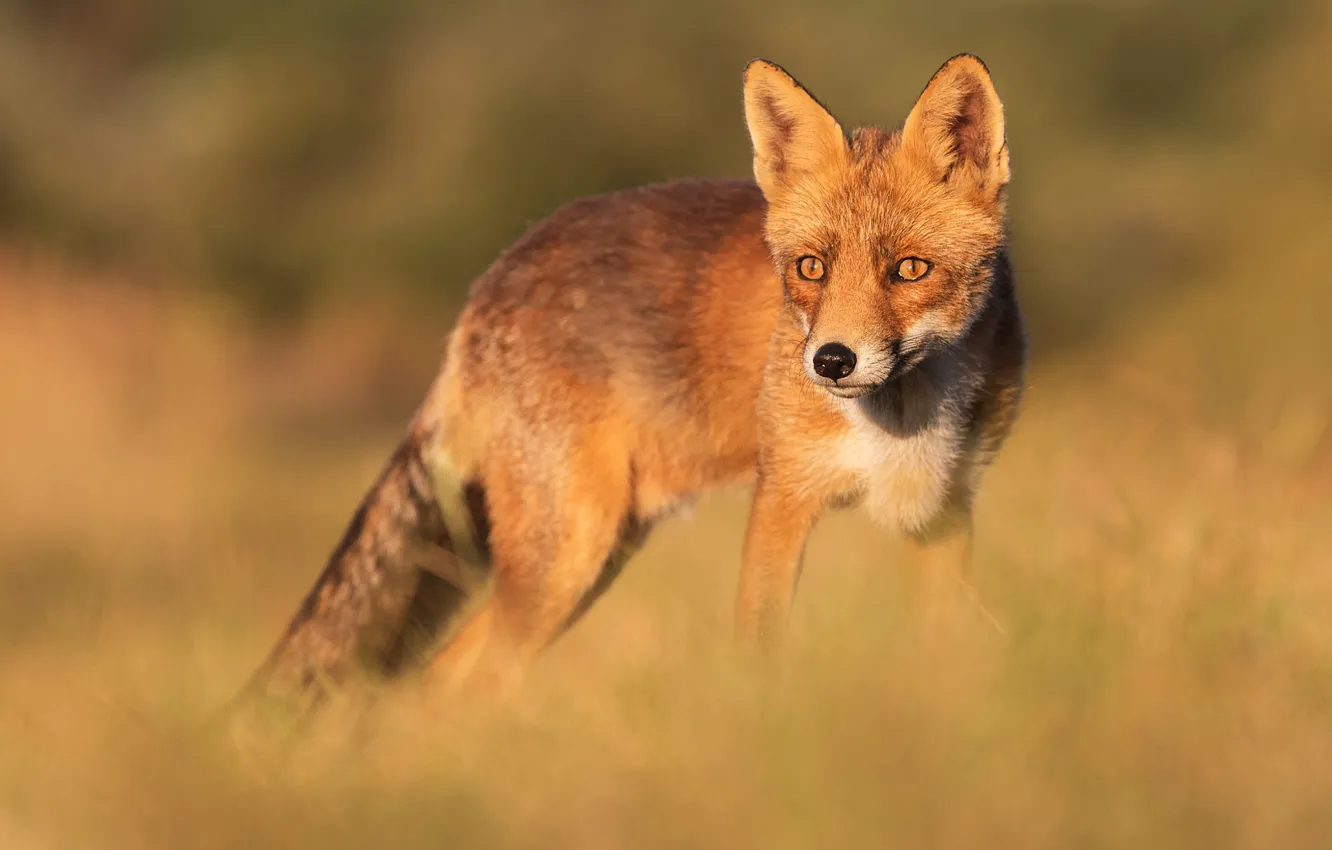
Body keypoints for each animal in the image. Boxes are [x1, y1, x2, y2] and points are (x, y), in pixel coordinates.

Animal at [240, 54, 1025, 713]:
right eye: (811, 268)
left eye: (910, 270)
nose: (830, 361)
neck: (903, 417)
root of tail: (491, 281)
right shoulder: (783, 498)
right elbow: (760, 653)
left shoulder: (943, 510)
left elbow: (943, 657)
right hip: (567, 555)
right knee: (456, 679)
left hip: (596, 551)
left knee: (449, 677)